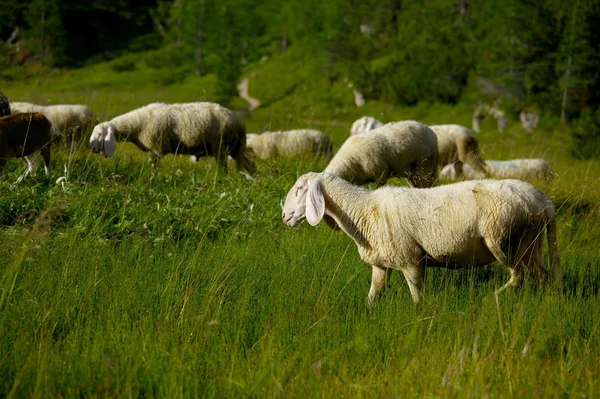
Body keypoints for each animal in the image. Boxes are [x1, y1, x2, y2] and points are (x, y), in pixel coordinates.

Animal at [89, 101, 255, 173]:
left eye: (99, 134)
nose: (91, 148)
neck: (137, 125)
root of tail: (240, 122)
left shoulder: (158, 147)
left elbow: (153, 164)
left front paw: (153, 176)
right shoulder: (154, 148)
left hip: (221, 146)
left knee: (224, 170)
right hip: (236, 148)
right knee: (250, 165)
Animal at [284, 172, 560, 306]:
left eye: (299, 189)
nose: (285, 216)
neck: (362, 210)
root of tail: (544, 202)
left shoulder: (411, 261)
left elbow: (417, 298)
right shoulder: (381, 264)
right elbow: (373, 296)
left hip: (502, 238)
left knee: (517, 276)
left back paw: (491, 298)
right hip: (530, 242)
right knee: (542, 274)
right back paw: (547, 301)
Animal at [352, 115, 488, 178]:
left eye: (360, 127)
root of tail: (471, 133)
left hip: (467, 151)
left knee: (479, 165)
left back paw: (483, 176)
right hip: (458, 156)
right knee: (459, 170)